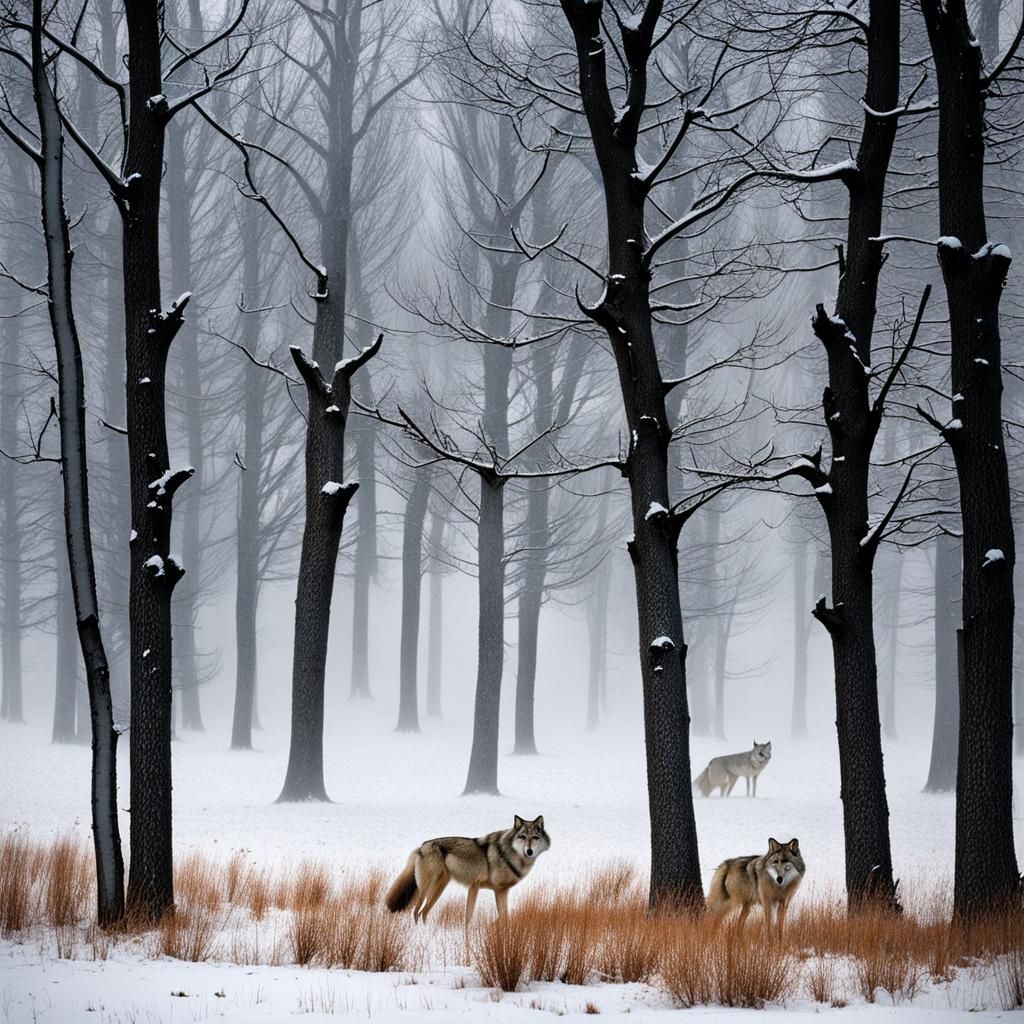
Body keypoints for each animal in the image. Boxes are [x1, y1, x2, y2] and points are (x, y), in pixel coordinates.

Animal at [384, 815, 550, 931]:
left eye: (535, 838)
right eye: (522, 837)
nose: (529, 851)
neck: (509, 855)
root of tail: (421, 847)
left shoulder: (502, 891)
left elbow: (505, 917)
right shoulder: (480, 887)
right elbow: (469, 918)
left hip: (438, 890)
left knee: (424, 912)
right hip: (426, 890)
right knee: (416, 912)